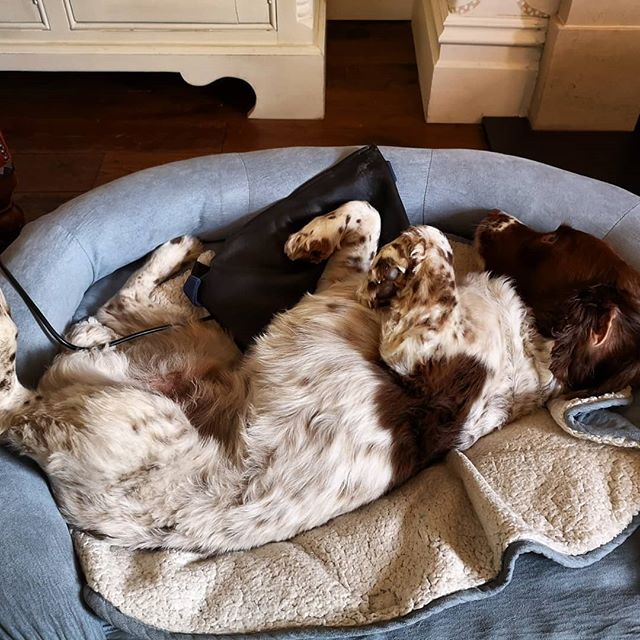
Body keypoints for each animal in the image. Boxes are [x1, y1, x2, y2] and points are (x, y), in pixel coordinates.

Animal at [1, 205, 636, 556]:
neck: (526, 332)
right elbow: (368, 215)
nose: (492, 215)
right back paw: (181, 249)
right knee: (118, 306)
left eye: (552, 240)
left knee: (13, 394)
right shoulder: (341, 287)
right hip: (190, 340)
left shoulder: (418, 349)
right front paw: (322, 243)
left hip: (132, 414)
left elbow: (431, 243)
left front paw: (408, 253)